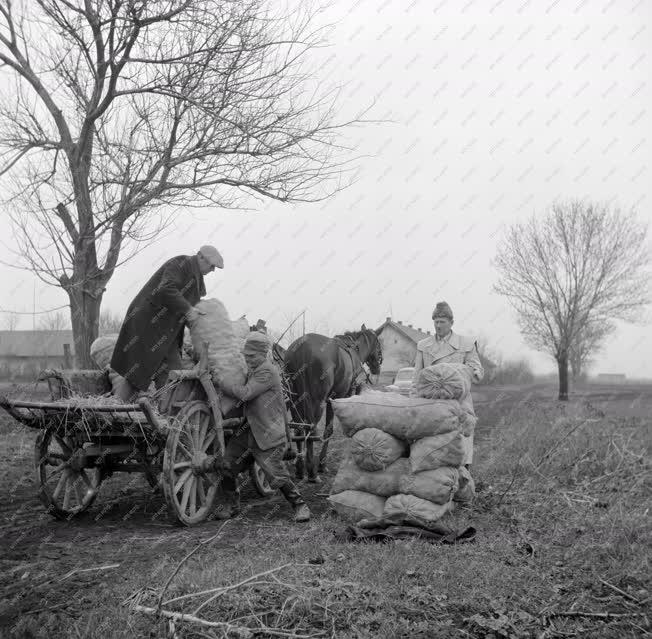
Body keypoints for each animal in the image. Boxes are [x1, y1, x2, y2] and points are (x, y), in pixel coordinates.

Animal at [284, 324, 382, 480]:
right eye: (379, 344)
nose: (377, 368)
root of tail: (302, 348)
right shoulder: (337, 398)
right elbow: (329, 430)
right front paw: (322, 464)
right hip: (316, 401)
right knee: (311, 428)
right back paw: (311, 470)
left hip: (294, 399)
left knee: (298, 428)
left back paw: (299, 468)